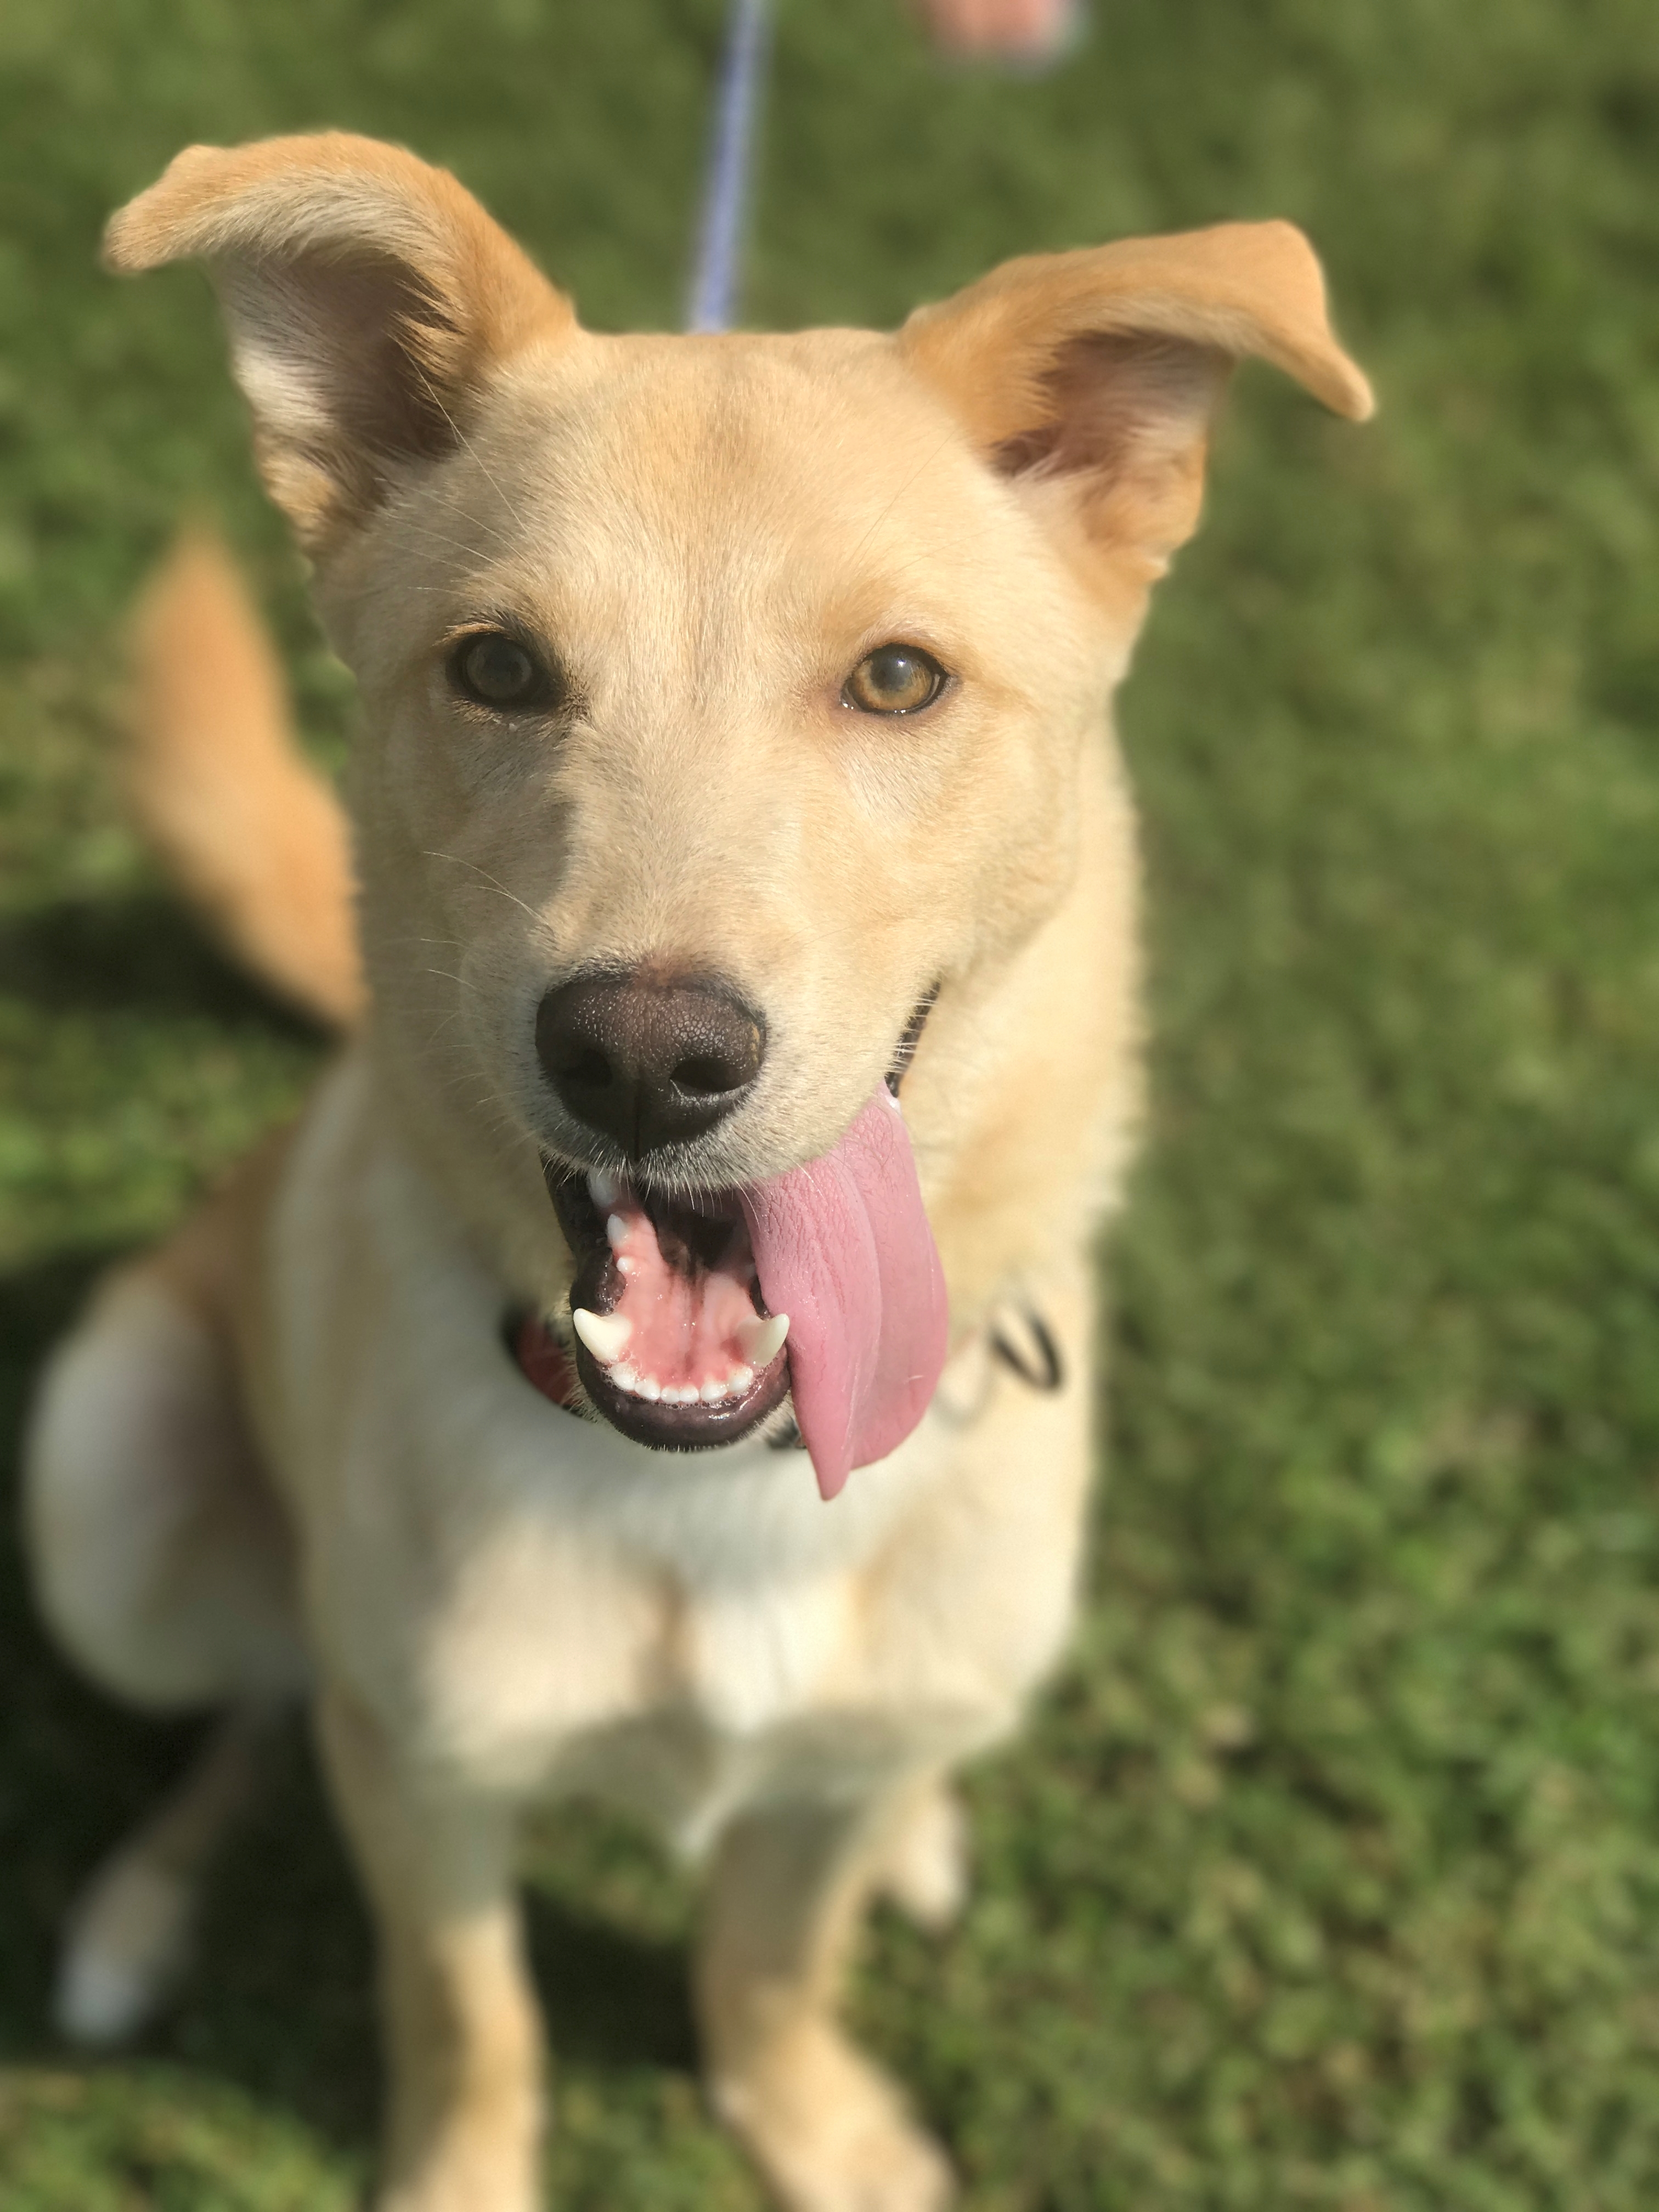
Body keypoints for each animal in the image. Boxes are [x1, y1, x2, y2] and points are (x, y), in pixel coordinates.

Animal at [22, 143, 1380, 2212]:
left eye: (896, 678)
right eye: (499, 669)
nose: (644, 1058)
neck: (720, 1485)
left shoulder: (794, 1811)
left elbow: (768, 1958)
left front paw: (809, 2122)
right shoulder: (429, 1781)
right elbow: (468, 2013)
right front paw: (464, 2179)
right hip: (109, 1488)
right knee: (264, 1691)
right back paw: (135, 1912)